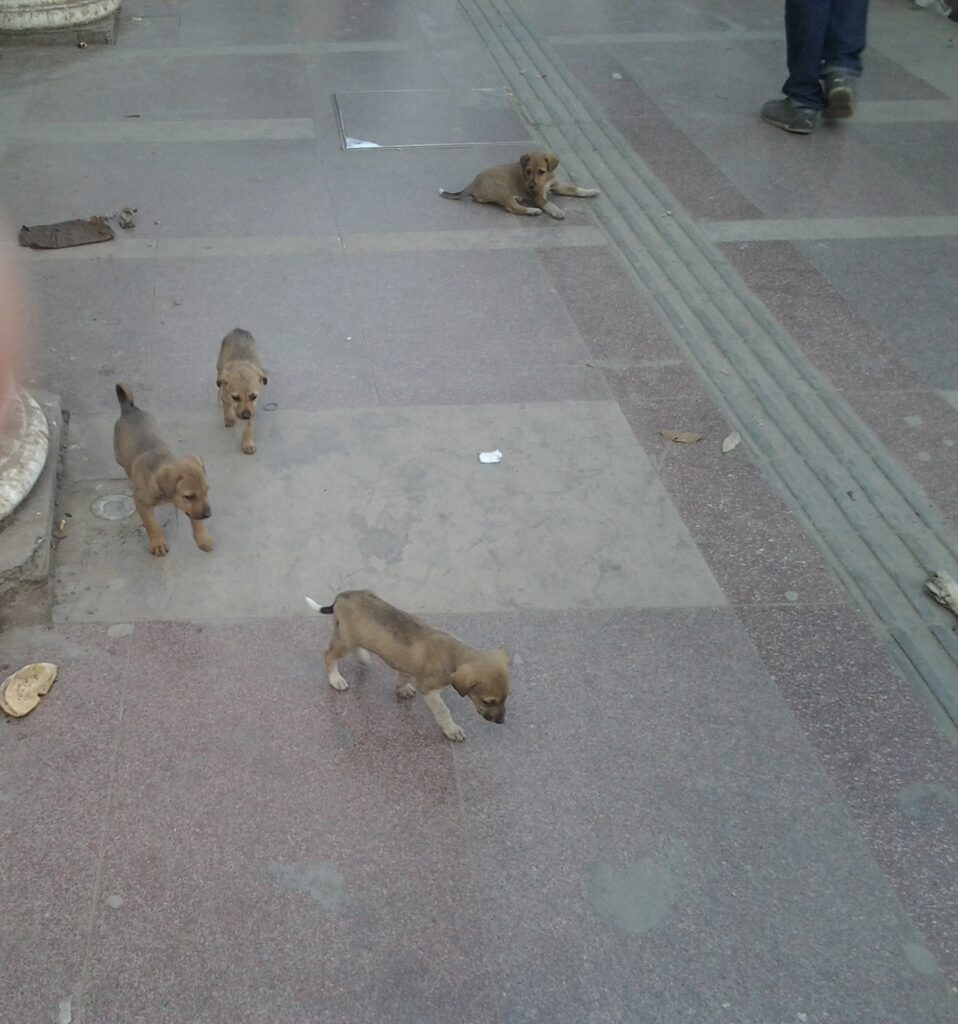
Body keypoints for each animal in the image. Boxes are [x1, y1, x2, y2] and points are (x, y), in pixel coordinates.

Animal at [113, 385, 211, 561]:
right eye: (189, 496)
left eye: (207, 491)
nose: (208, 515)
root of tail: (129, 409)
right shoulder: (142, 504)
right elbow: (152, 525)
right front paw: (158, 544)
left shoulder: (195, 511)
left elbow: (197, 520)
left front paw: (203, 538)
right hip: (119, 456)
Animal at [213, 327, 266, 456]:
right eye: (235, 397)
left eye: (253, 396)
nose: (246, 415)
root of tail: (238, 330)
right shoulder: (226, 392)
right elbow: (227, 406)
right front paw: (229, 418)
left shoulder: (253, 407)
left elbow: (249, 426)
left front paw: (247, 443)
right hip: (219, 363)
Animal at [309, 593, 511, 745]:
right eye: (488, 701)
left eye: (505, 698)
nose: (502, 721)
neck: (453, 654)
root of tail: (340, 597)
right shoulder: (428, 688)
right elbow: (443, 710)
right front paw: (452, 729)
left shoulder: (405, 664)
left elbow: (403, 675)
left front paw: (402, 689)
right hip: (344, 640)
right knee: (328, 655)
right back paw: (336, 679)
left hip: (353, 637)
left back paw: (362, 657)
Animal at [440, 148, 597, 218]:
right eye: (528, 171)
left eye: (541, 171)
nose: (531, 187)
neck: (545, 180)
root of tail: (473, 183)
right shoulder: (538, 197)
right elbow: (549, 203)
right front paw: (557, 211)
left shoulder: (557, 186)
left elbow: (575, 189)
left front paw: (592, 191)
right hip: (501, 189)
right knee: (512, 208)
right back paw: (532, 211)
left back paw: (518, 198)